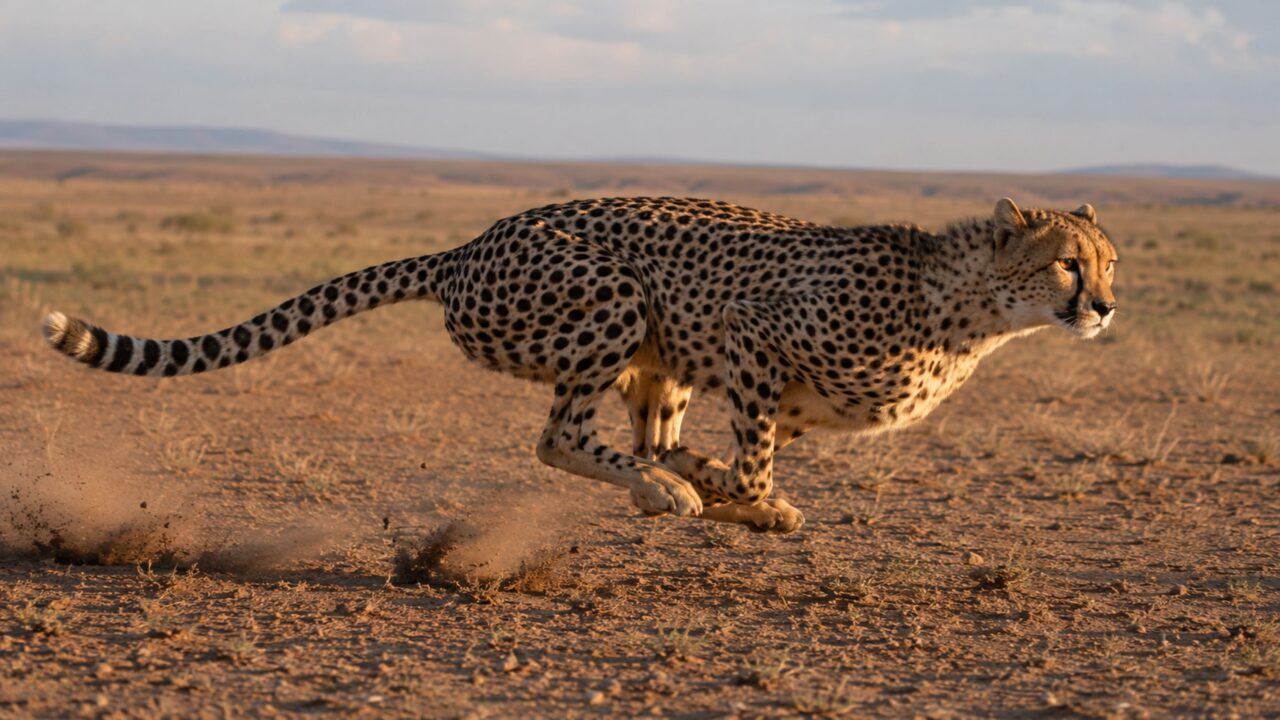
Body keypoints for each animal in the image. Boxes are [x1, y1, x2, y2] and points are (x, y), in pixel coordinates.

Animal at [43, 196, 1118, 533]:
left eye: (1110, 263)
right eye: (1068, 262)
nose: (1106, 306)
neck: (971, 306)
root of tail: (470, 244)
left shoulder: (723, 350)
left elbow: (723, 443)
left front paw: (729, 489)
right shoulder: (754, 332)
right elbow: (760, 449)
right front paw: (751, 500)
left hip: (653, 340)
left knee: (634, 430)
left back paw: (672, 480)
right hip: (614, 294)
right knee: (557, 435)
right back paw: (668, 491)